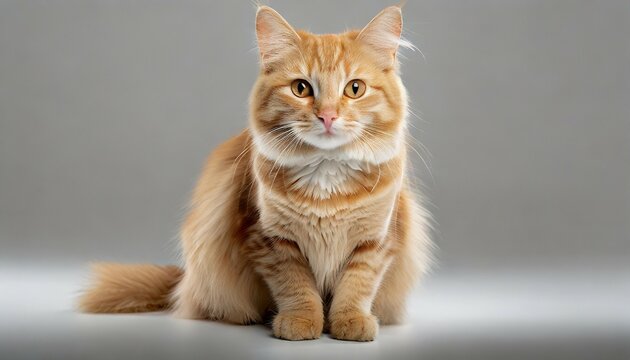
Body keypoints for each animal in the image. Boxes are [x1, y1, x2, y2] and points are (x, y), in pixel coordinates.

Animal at [79, 6, 432, 344]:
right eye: (301, 88)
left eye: (354, 89)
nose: (328, 116)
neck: (326, 176)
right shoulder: (270, 239)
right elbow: (296, 286)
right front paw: (302, 321)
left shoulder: (378, 239)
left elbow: (357, 285)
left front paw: (350, 321)